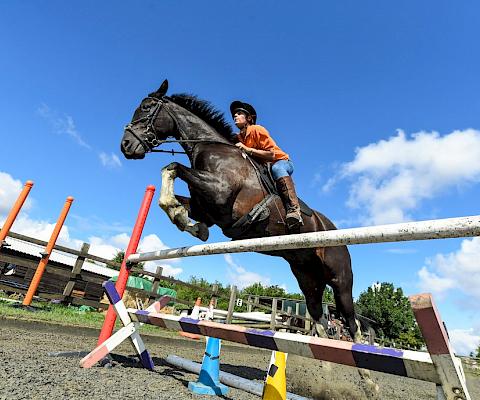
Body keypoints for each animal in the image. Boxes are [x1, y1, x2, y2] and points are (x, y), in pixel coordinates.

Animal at [120, 80, 360, 340]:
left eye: (146, 107)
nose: (125, 145)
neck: (209, 148)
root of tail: (333, 230)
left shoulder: (220, 191)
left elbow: (172, 166)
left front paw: (182, 216)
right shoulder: (206, 209)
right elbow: (174, 196)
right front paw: (187, 221)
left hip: (340, 280)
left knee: (352, 320)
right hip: (307, 277)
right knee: (319, 317)